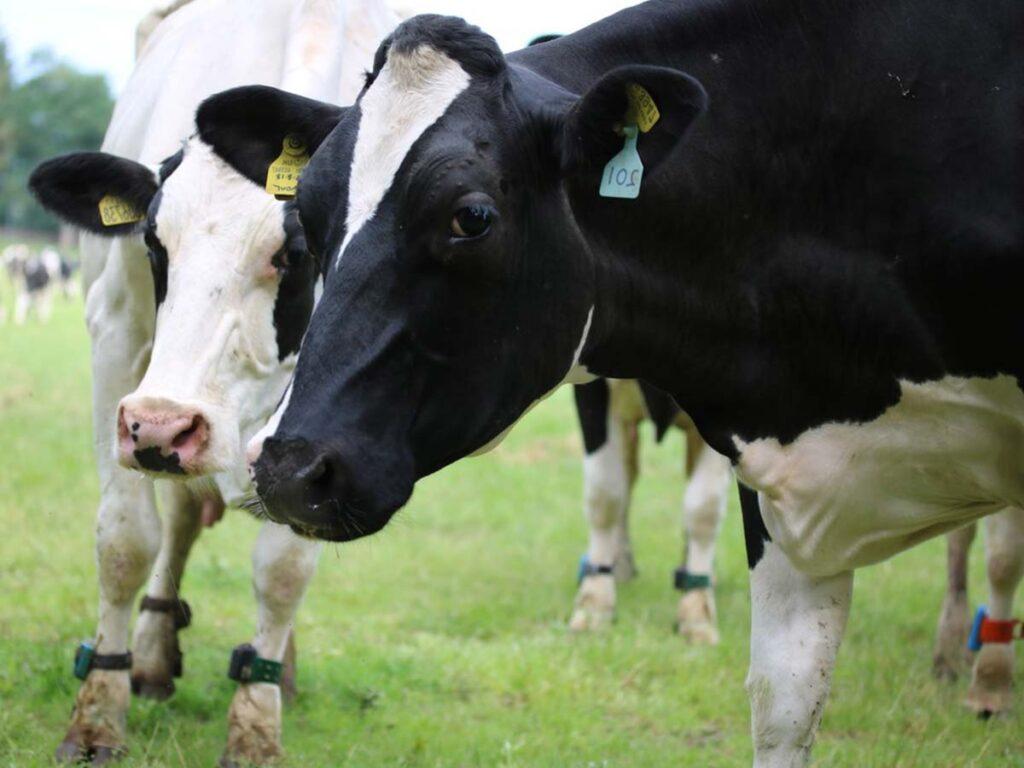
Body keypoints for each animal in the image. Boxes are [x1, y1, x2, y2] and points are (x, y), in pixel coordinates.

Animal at [27, 1, 395, 768]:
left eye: (295, 251)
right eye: (152, 241)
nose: (164, 426)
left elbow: (285, 565)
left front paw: (257, 721)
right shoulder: (118, 338)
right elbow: (126, 539)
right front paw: (98, 713)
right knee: (177, 518)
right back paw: (150, 653)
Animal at [573, 376, 733, 638]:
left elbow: (704, 505)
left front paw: (697, 612)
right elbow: (605, 494)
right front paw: (594, 604)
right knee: (627, 476)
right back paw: (620, 564)